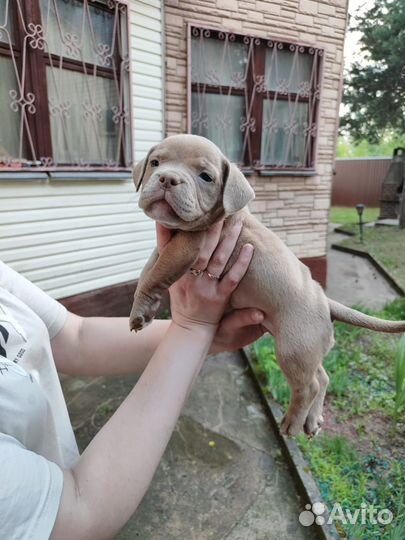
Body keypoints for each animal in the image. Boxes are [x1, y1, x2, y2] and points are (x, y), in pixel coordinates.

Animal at [129, 135, 404, 438]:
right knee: (321, 376)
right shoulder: (166, 245)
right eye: (156, 163)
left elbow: (156, 273)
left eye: (206, 177)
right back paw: (312, 419)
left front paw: (142, 307)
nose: (167, 178)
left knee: (309, 385)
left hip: (294, 347)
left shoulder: (188, 244)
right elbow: (148, 269)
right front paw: (142, 309)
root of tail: (323, 299)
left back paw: (292, 423)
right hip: (306, 346)